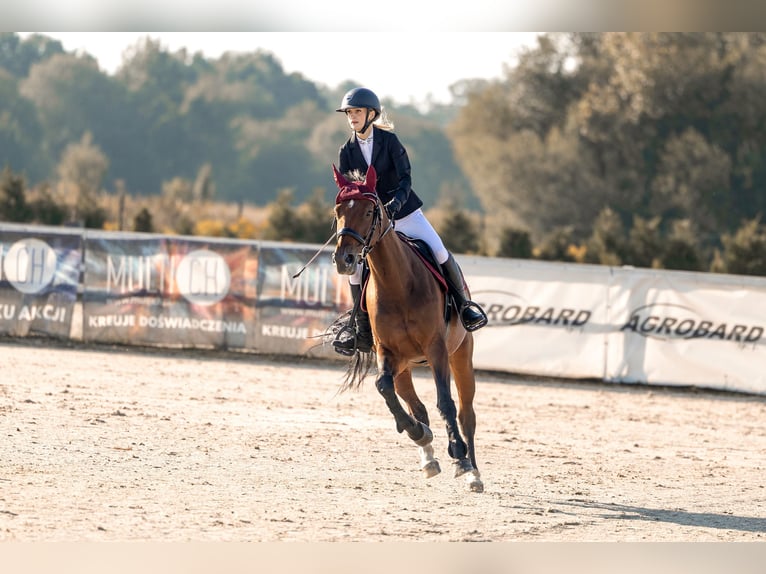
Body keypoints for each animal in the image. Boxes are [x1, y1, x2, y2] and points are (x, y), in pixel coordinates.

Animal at [331, 163, 484, 493]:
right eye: (338, 210)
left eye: (369, 211)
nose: (344, 259)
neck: (396, 282)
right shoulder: (386, 353)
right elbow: (383, 388)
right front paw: (417, 433)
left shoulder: (437, 350)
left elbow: (446, 403)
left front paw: (459, 456)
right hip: (404, 366)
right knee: (414, 404)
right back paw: (428, 456)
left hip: (461, 356)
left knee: (466, 415)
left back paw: (474, 473)